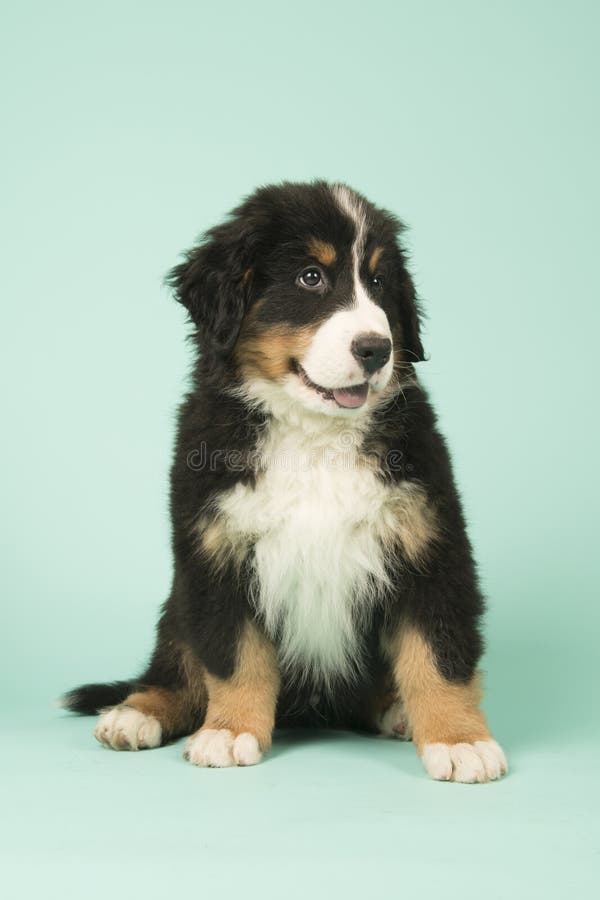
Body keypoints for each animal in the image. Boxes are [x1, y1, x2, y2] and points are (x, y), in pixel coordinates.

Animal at [63, 181, 506, 780]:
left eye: (378, 282)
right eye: (310, 277)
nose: (377, 349)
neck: (312, 436)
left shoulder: (429, 546)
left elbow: (439, 656)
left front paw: (460, 740)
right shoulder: (218, 555)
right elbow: (234, 657)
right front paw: (229, 730)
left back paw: (397, 711)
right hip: (179, 601)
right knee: (175, 663)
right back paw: (138, 712)